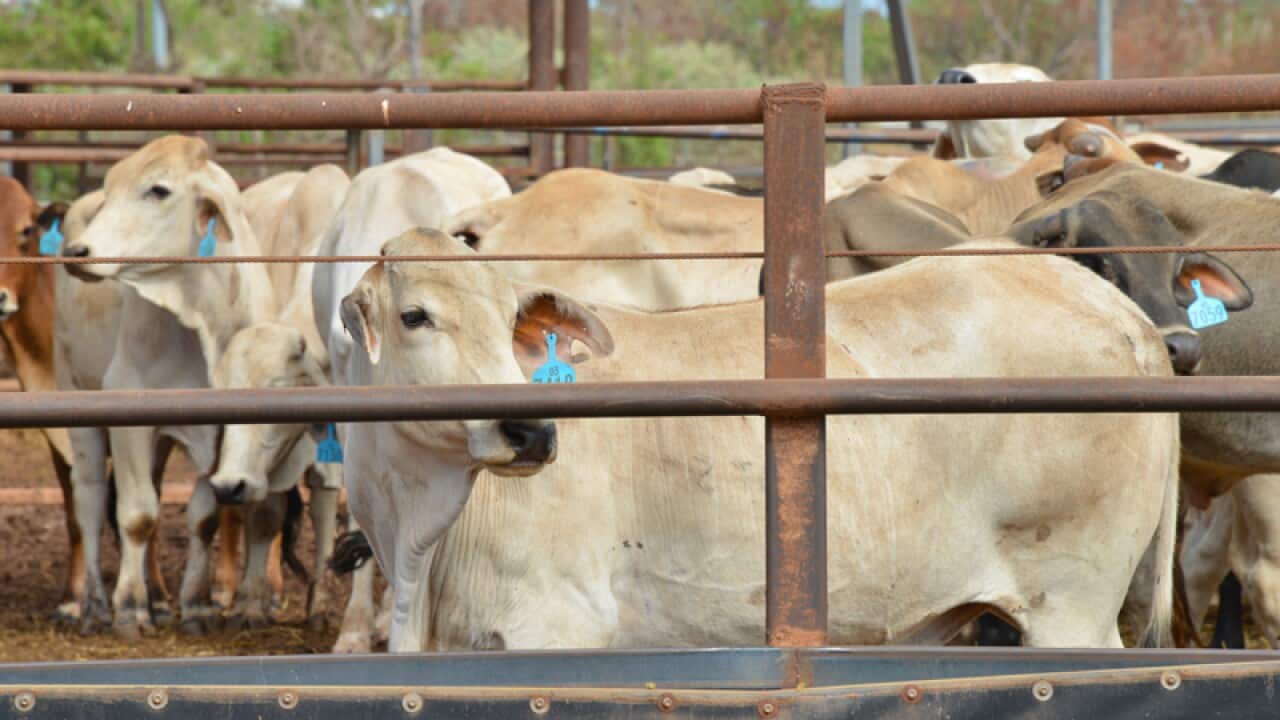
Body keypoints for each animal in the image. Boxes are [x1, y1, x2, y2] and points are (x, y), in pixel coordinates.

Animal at [334, 227, 1178, 653]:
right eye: (415, 316)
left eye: (511, 319)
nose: (532, 428)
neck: (418, 544)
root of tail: (1123, 314)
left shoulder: (552, 631)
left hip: (1072, 605)